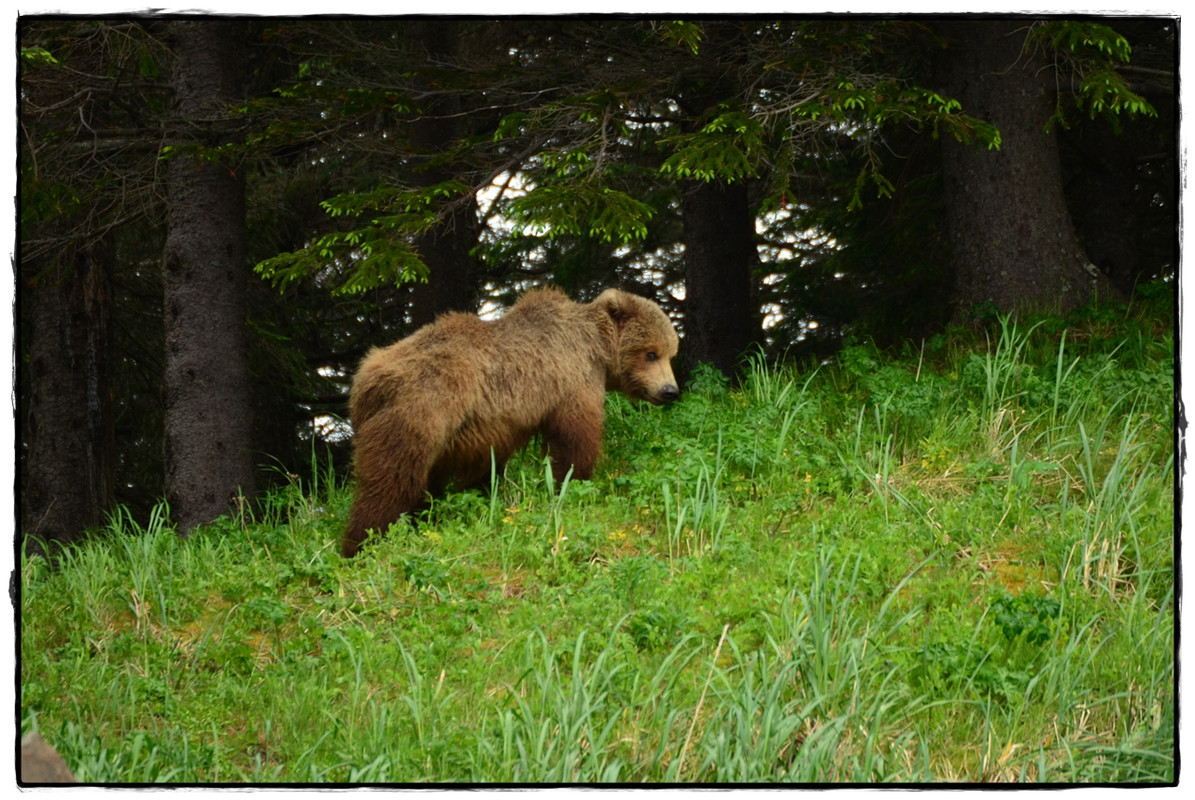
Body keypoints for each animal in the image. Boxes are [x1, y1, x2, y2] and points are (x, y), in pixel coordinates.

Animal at [341, 286, 678, 554]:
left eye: (670, 353)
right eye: (651, 353)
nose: (670, 390)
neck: (597, 348)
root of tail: (367, 378)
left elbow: (486, 468)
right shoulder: (572, 379)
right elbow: (574, 440)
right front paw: (573, 483)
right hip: (422, 410)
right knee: (391, 481)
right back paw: (362, 544)